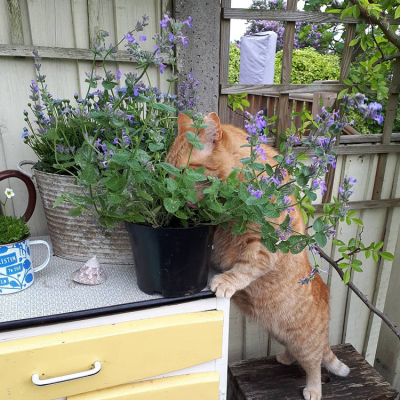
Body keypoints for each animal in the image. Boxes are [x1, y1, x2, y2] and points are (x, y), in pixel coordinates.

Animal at [167, 111, 348, 400]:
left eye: (184, 171)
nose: (170, 192)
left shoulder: (264, 244)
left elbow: (246, 266)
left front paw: (225, 281)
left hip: (305, 341)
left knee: (314, 364)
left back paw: (313, 389)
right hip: (283, 335)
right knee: (295, 352)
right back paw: (285, 358)